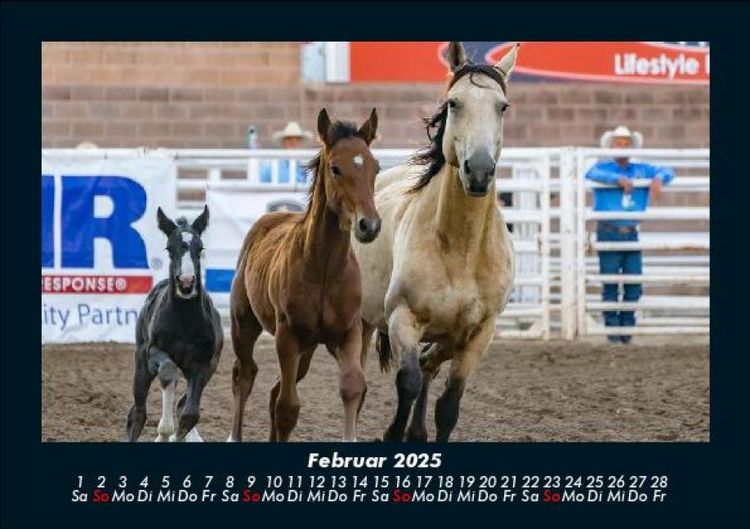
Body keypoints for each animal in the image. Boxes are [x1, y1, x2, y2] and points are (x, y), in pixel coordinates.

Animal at [125, 205, 223, 442]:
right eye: (169, 248)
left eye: (200, 248)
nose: (186, 283)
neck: (184, 321)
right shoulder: (153, 353)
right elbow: (168, 372)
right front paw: (164, 432)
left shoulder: (203, 364)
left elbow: (190, 414)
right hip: (141, 364)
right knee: (137, 413)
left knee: (182, 405)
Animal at [228, 108, 381, 442]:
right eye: (335, 168)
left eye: (375, 167)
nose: (369, 225)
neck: (324, 269)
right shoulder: (288, 337)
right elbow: (288, 408)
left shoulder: (348, 333)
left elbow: (353, 387)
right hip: (243, 325)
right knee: (244, 374)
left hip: (308, 350)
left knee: (273, 390)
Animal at [352, 42, 519, 442]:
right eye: (454, 103)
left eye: (502, 107)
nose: (479, 170)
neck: (461, 248)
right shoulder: (402, 319)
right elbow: (408, 382)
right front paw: (392, 433)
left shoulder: (478, 336)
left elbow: (449, 406)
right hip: (362, 322)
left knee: (430, 363)